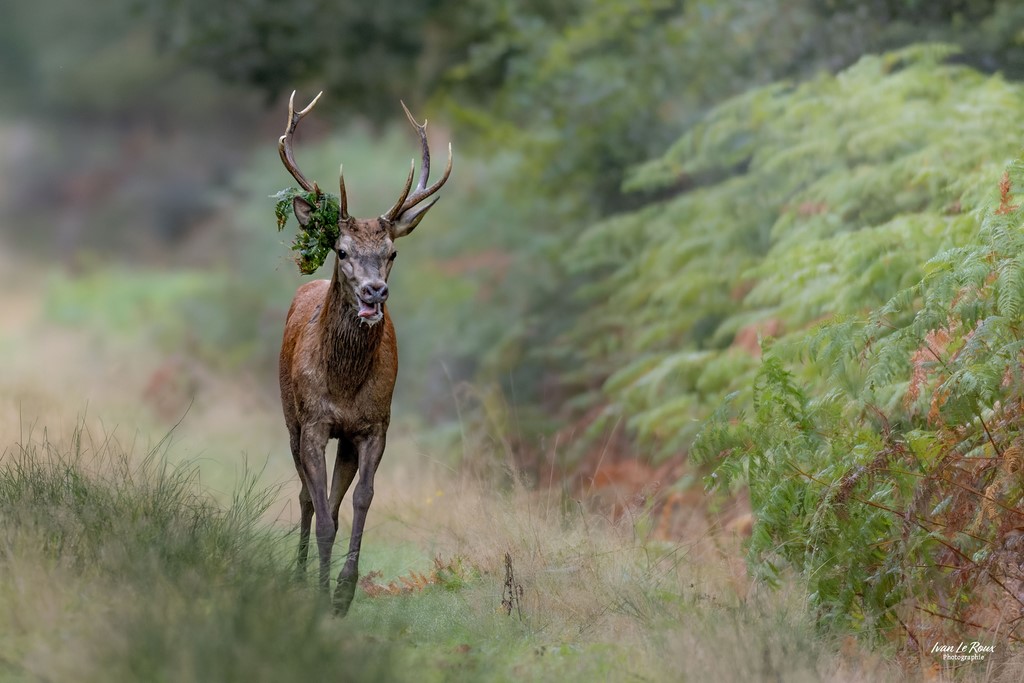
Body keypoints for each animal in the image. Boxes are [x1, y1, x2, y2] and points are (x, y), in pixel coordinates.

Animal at [276, 91, 451, 615]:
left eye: (392, 252)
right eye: (342, 249)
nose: (375, 291)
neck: (343, 383)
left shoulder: (374, 425)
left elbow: (360, 503)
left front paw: (343, 591)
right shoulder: (314, 422)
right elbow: (319, 508)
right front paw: (318, 591)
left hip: (346, 439)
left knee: (333, 501)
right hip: (290, 419)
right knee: (306, 498)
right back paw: (298, 574)